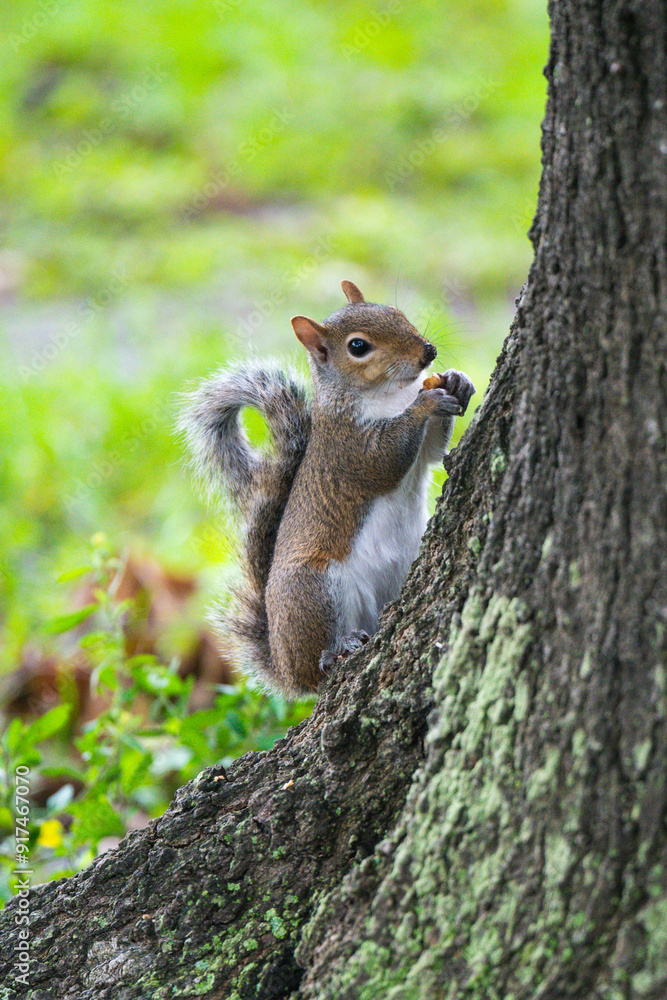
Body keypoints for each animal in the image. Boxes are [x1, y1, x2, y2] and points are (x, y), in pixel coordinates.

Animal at [181, 280, 475, 697]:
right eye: (358, 346)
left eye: (396, 313)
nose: (428, 352)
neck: (390, 395)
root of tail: (284, 667)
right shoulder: (348, 448)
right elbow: (385, 460)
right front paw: (426, 402)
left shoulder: (421, 449)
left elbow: (432, 451)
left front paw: (458, 381)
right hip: (314, 590)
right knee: (317, 666)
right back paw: (337, 650)